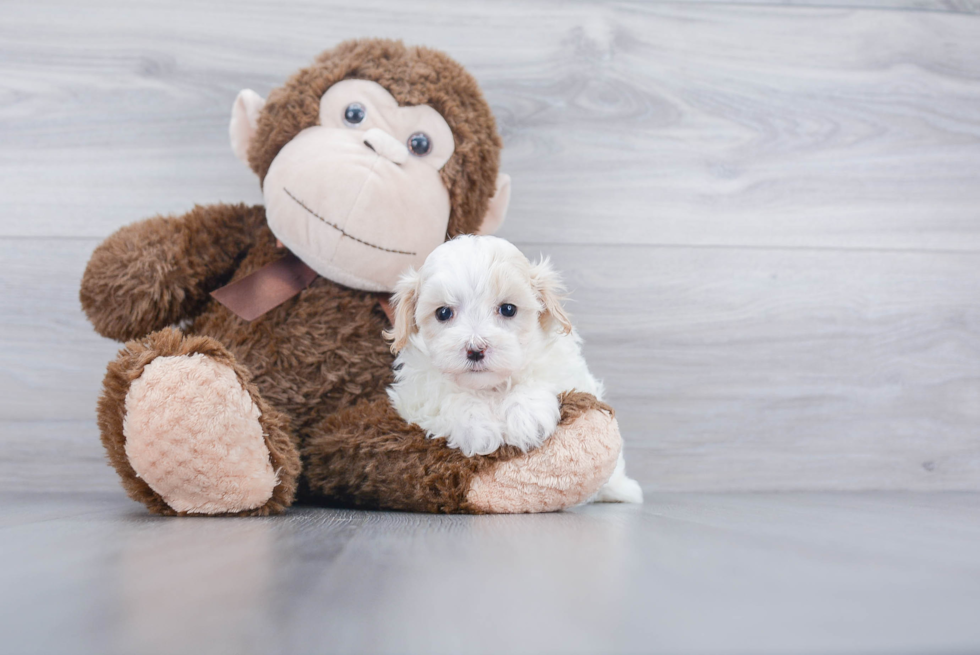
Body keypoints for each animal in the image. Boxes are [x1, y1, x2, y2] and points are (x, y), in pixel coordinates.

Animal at [382, 236, 644, 508]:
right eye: (443, 313)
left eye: (508, 309)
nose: (475, 349)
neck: (491, 387)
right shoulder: (416, 391)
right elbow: (449, 396)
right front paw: (476, 425)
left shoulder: (563, 366)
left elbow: (539, 377)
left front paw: (527, 417)